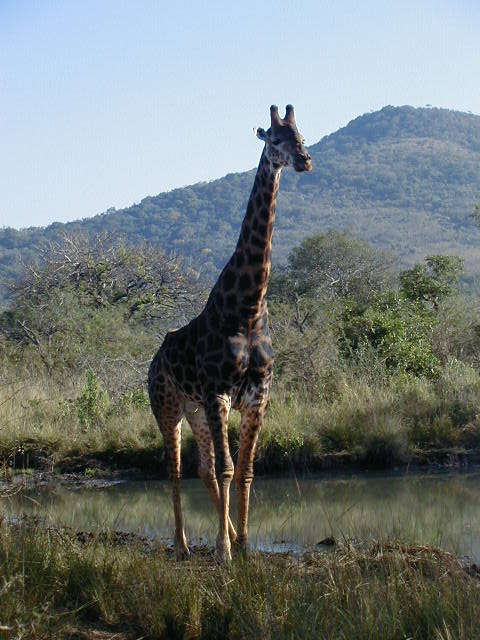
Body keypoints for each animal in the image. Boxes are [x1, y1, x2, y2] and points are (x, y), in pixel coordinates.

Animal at [148, 105, 312, 562]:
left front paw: (244, 544)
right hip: (168, 408)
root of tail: (153, 360)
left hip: (195, 411)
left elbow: (245, 471)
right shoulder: (218, 392)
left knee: (201, 469)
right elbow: (227, 468)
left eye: (302, 135)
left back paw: (223, 537)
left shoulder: (258, 396)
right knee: (175, 469)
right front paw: (223, 551)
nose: (305, 160)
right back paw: (183, 544)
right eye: (274, 139)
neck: (249, 307)